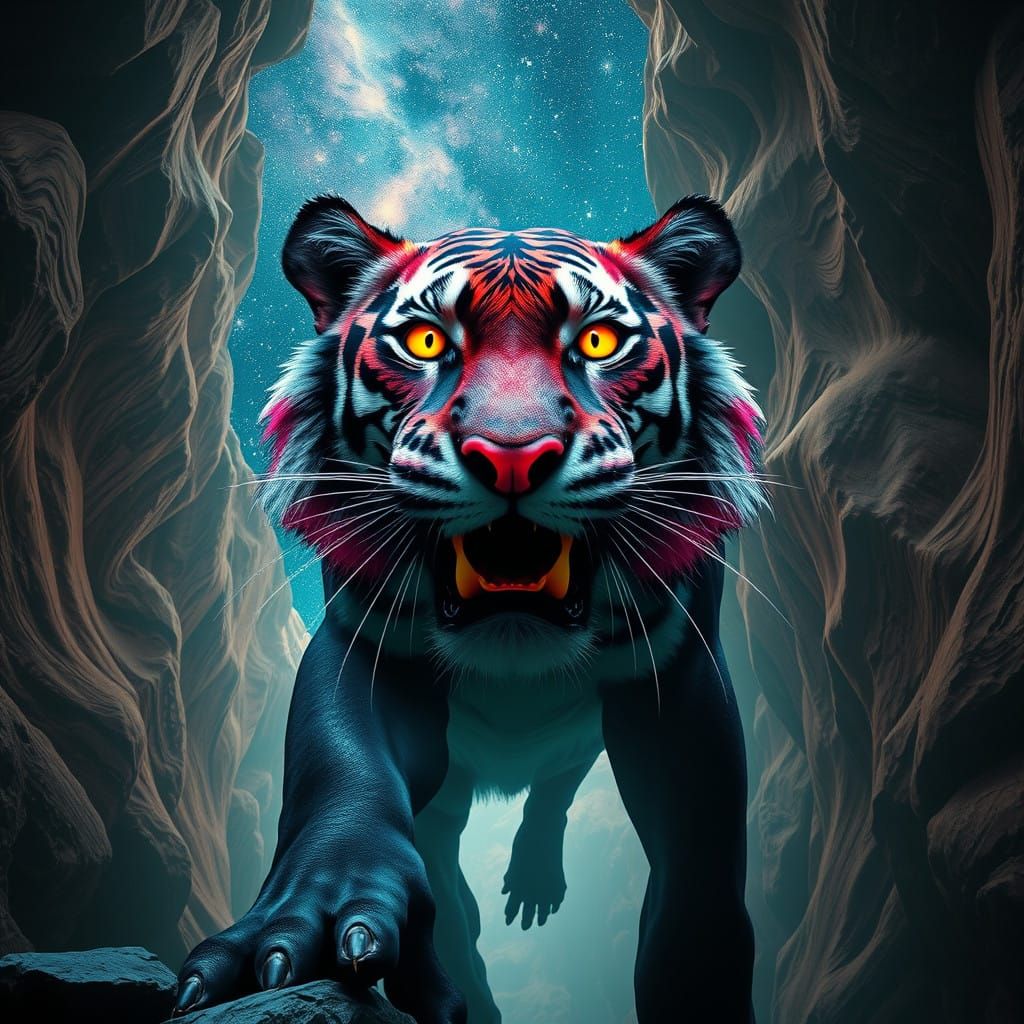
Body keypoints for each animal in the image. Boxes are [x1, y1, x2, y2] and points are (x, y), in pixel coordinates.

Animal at [174, 194, 765, 1024]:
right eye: (426, 341)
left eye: (598, 340)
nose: (512, 453)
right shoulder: (369, 645)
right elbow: (342, 771)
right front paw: (302, 929)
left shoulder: (678, 681)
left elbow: (696, 879)